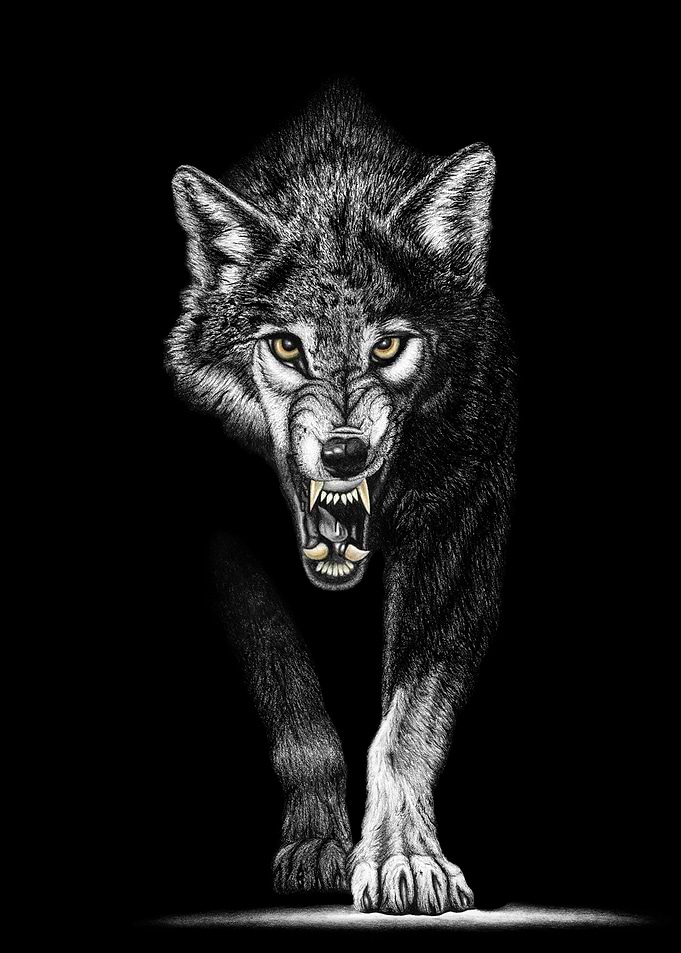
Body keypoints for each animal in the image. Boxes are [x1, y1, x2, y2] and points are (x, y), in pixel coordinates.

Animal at [166, 82, 517, 915]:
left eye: (386, 345)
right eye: (286, 347)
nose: (344, 452)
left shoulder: (463, 524)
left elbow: (405, 721)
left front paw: (403, 859)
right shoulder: (224, 540)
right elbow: (294, 698)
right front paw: (318, 846)